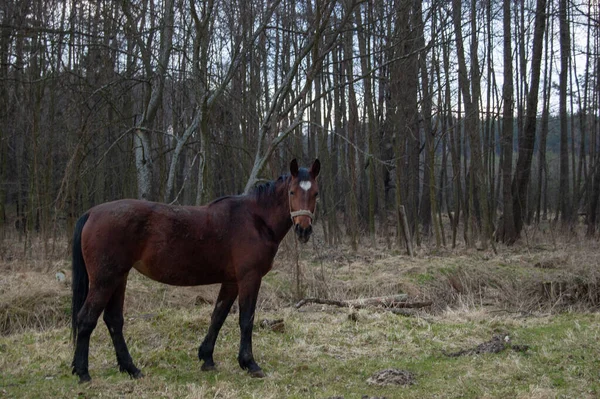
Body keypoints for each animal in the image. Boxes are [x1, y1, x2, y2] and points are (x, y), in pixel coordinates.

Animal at [71, 158, 322, 382]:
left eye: (316, 193)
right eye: (292, 192)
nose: (303, 230)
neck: (255, 220)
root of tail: (92, 213)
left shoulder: (231, 281)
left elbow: (218, 316)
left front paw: (207, 357)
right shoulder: (249, 278)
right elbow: (246, 319)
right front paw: (249, 363)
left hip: (119, 278)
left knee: (114, 320)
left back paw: (131, 369)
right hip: (105, 280)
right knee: (86, 319)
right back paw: (83, 373)